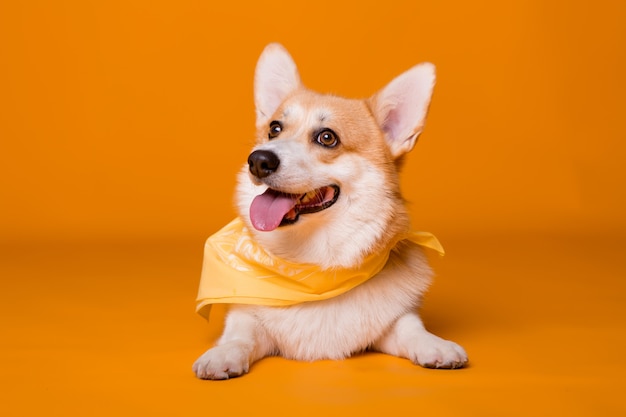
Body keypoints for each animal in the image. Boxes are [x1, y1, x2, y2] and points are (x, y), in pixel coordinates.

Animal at [193, 44, 466, 378]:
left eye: (327, 137)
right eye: (274, 129)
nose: (258, 160)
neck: (315, 267)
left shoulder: (393, 323)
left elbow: (411, 328)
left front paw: (435, 346)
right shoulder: (246, 315)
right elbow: (240, 335)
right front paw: (223, 355)